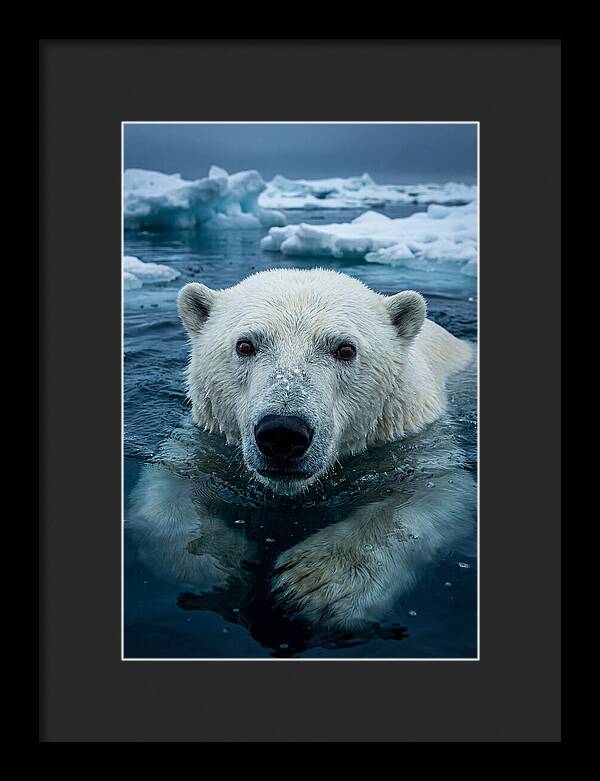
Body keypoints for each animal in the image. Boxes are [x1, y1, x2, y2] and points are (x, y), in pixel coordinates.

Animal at [127, 269, 475, 644]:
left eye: (345, 348)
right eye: (245, 345)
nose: (282, 432)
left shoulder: (414, 439)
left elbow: (436, 491)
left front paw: (314, 583)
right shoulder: (206, 440)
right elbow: (169, 487)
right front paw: (219, 563)